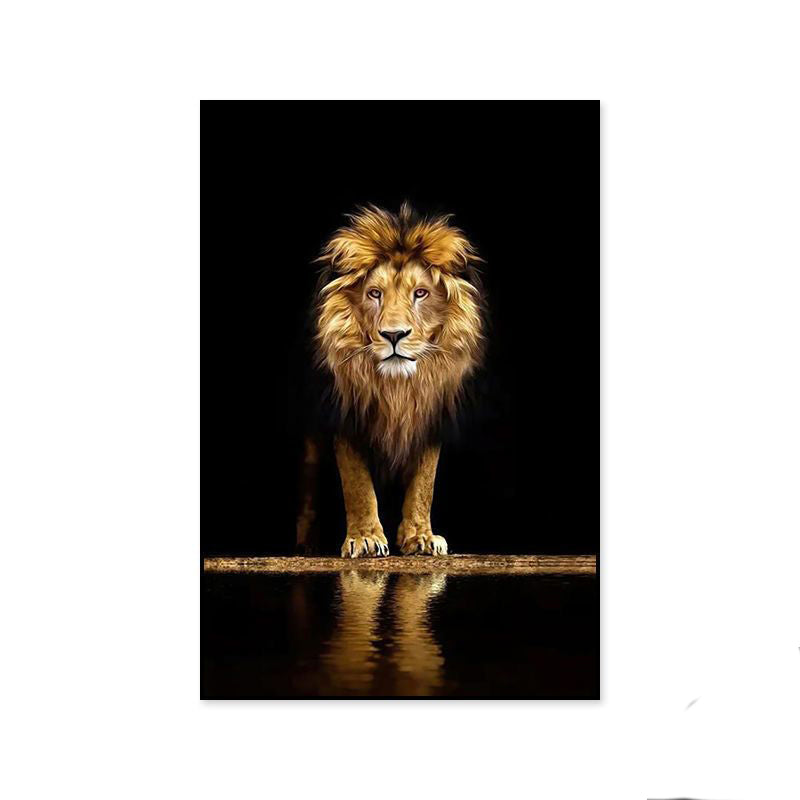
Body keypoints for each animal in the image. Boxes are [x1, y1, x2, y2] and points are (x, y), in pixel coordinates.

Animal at [296, 203, 485, 558]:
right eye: (374, 294)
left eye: (420, 293)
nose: (394, 335)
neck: (397, 387)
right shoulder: (346, 415)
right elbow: (356, 483)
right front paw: (365, 538)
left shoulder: (429, 414)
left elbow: (424, 483)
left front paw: (421, 536)